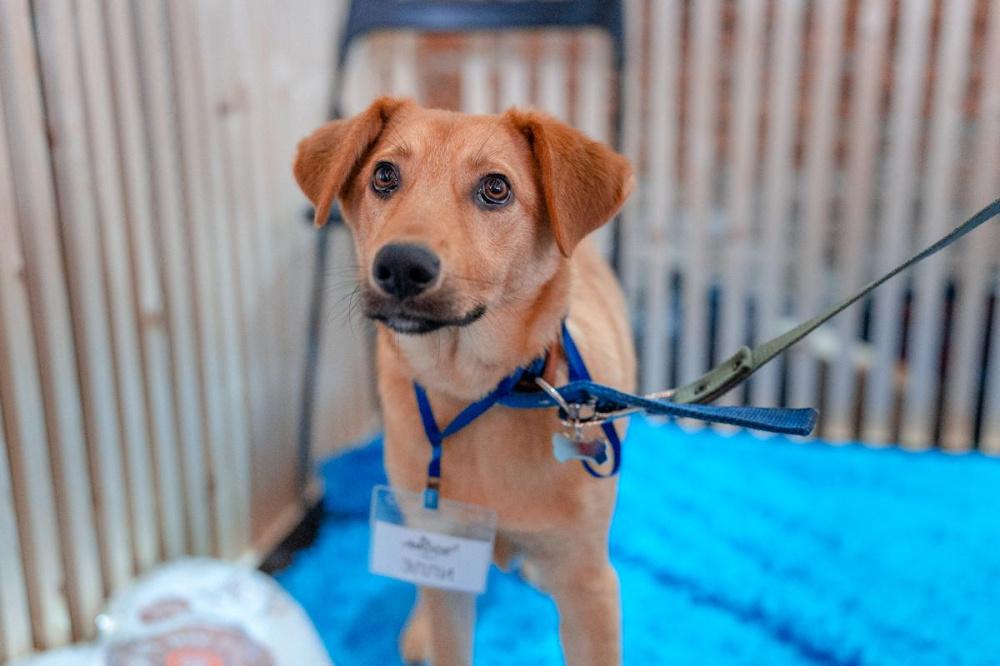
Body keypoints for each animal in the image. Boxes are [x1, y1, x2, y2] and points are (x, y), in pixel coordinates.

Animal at [292, 96, 636, 660]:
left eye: (496, 188)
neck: (479, 393)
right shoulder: (447, 555)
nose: (401, 266)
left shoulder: (591, 588)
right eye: (383, 175)